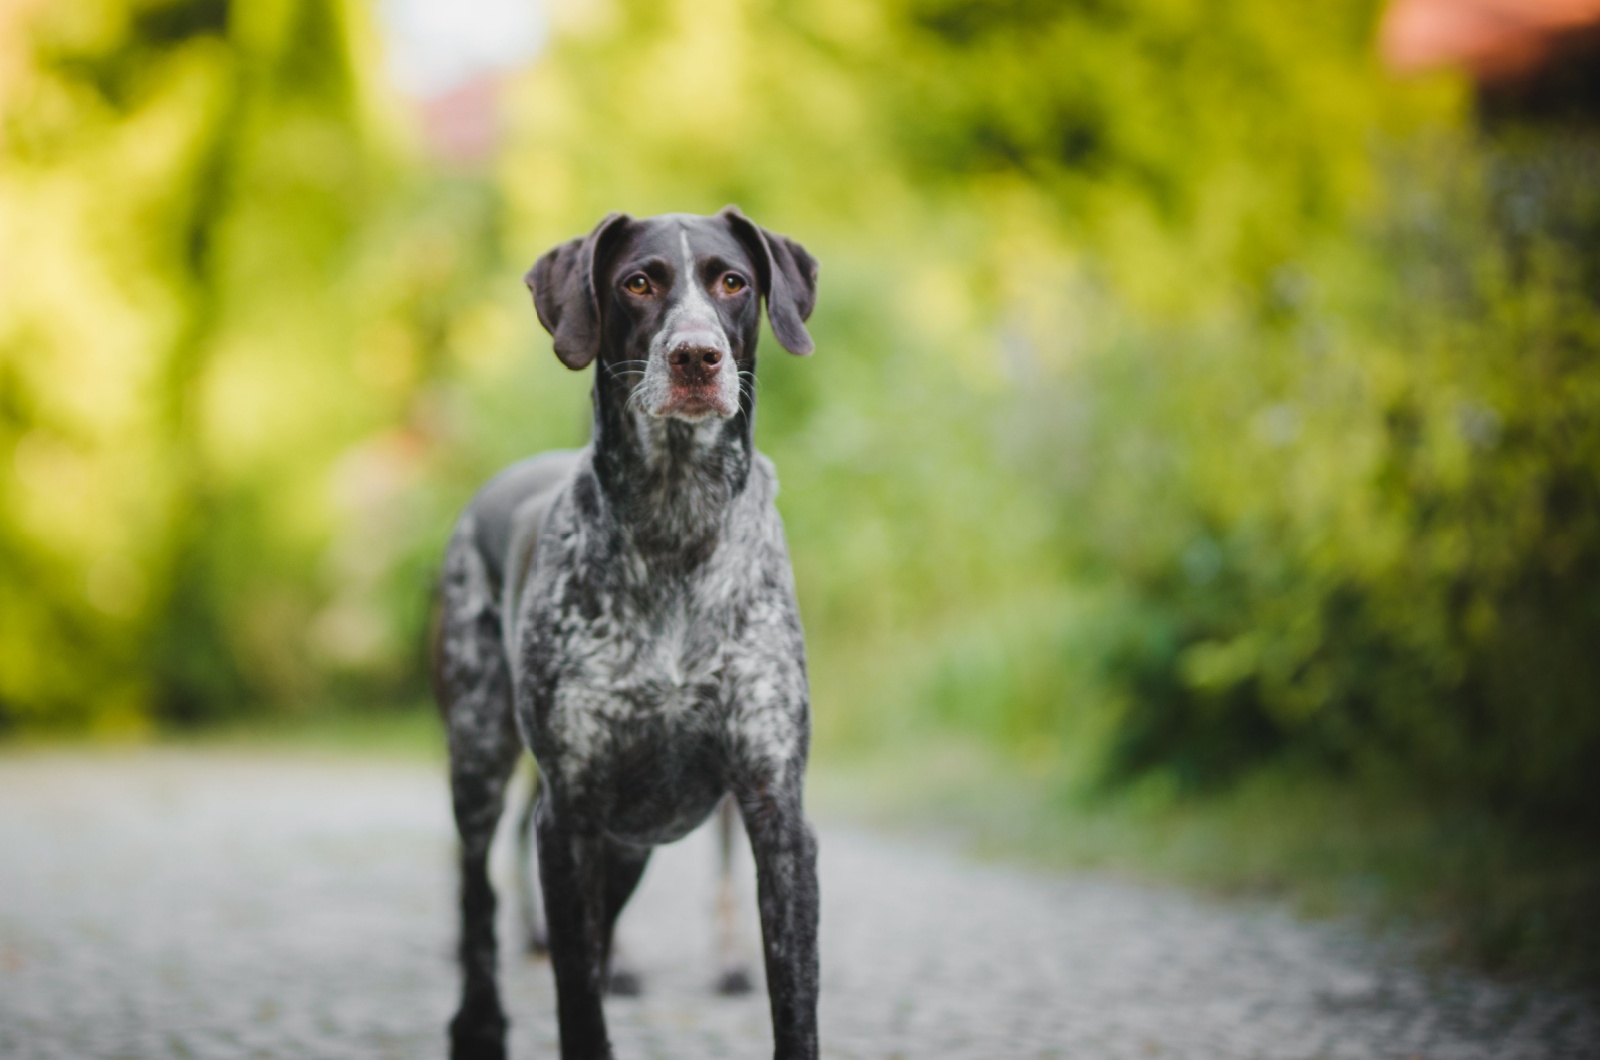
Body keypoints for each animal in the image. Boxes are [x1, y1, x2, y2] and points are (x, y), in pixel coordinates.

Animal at [432, 208, 819, 1060]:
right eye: (638, 282)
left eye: (732, 280)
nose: (696, 356)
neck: (676, 520)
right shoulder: (570, 813)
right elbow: (578, 997)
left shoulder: (776, 809)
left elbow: (793, 999)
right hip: (480, 755)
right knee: (476, 892)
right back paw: (478, 1022)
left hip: (629, 843)